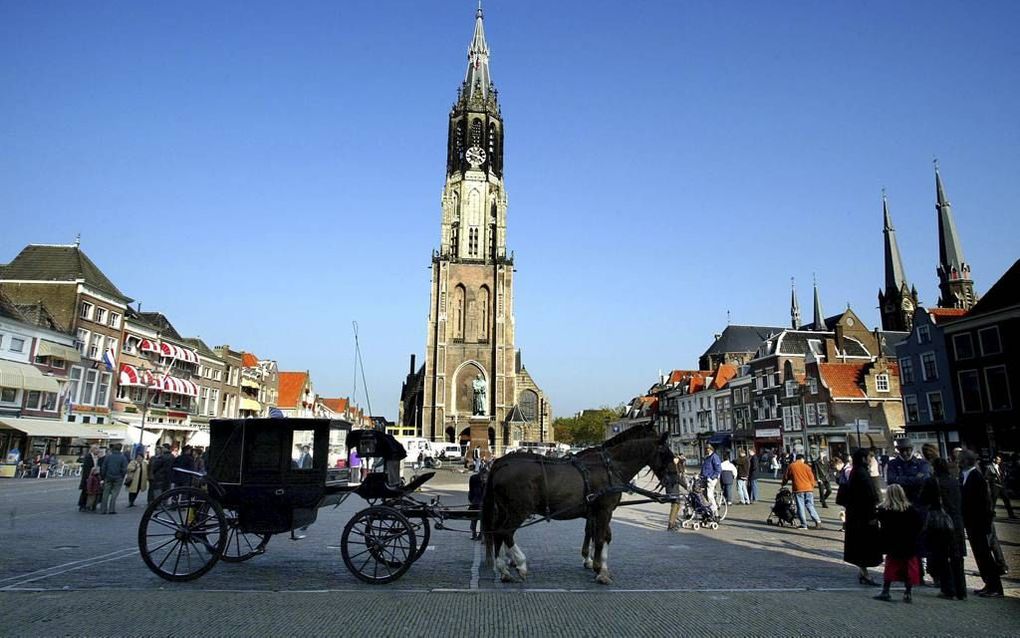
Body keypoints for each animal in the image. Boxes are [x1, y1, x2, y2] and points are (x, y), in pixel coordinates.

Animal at [483, 422, 681, 583]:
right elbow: (599, 537)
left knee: (498, 533)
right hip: (519, 510)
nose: (675, 480)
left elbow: (603, 536)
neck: (610, 466)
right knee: (505, 532)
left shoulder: (598, 512)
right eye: (666, 453)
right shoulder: (603, 510)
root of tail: (501, 463)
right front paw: (598, 569)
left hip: (505, 510)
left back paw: (504, 569)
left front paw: (599, 565)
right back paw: (520, 564)